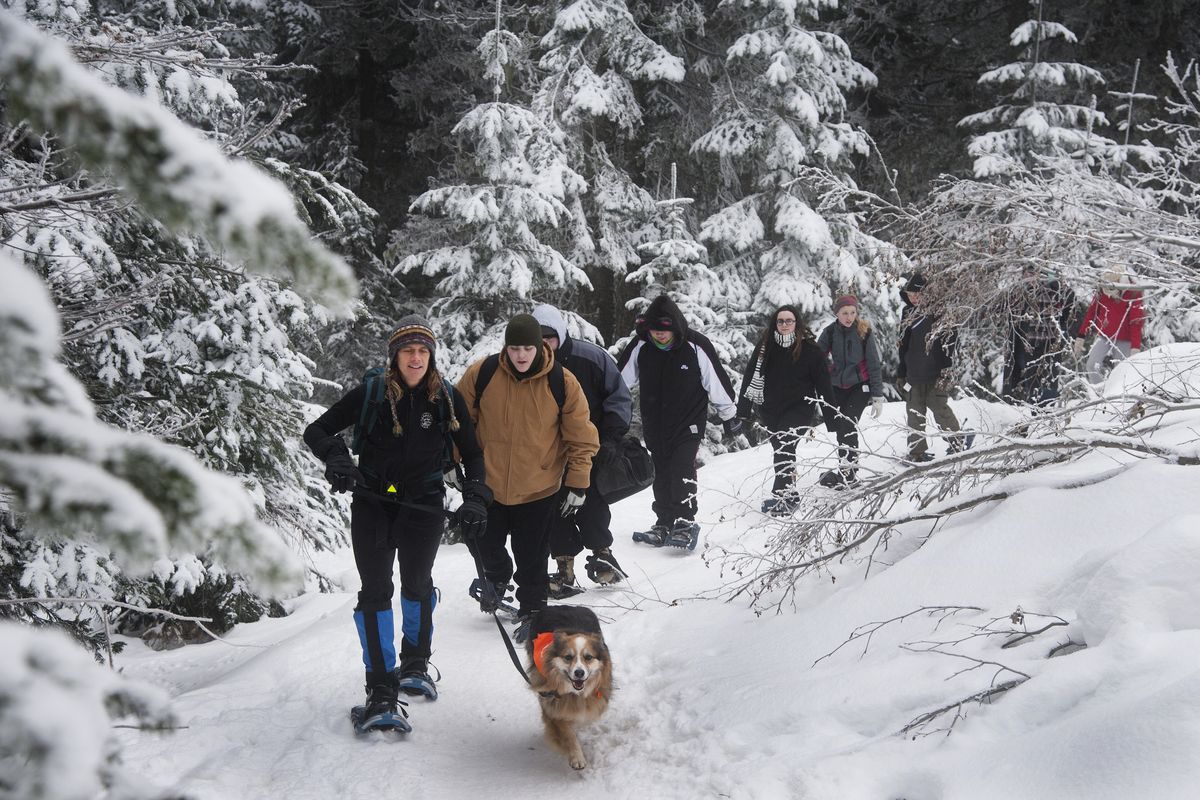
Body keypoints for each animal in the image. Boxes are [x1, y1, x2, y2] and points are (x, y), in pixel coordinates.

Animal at [525, 606, 614, 767]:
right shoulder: (553, 706)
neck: (575, 693)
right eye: (568, 657)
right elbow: (568, 735)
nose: (579, 673)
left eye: (588, 657)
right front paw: (577, 757)